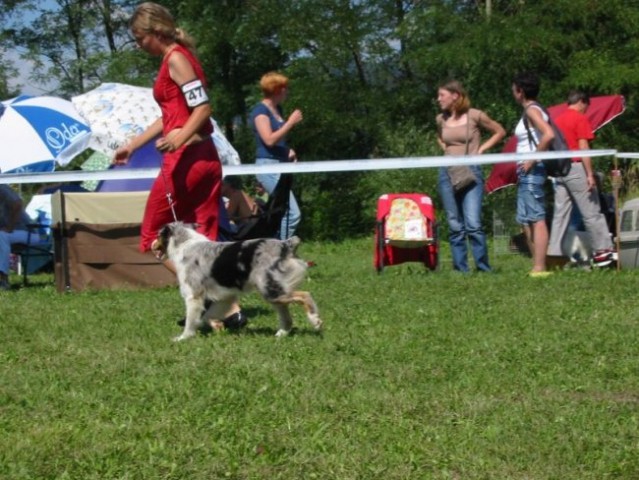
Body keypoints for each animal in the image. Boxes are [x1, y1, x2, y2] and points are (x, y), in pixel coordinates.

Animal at [152, 222, 322, 342]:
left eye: (158, 235)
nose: (151, 244)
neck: (184, 245)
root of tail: (285, 244)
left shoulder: (193, 295)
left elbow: (191, 320)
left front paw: (183, 337)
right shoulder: (223, 297)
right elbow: (206, 316)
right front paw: (218, 327)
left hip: (270, 290)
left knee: (305, 295)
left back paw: (315, 321)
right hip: (273, 291)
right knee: (286, 315)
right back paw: (281, 334)